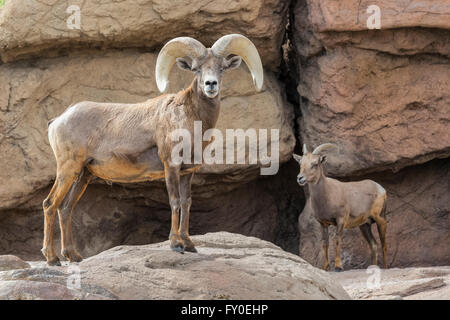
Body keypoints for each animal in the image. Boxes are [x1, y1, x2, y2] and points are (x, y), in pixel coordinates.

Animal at [42, 34, 264, 264]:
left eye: (222, 68)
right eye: (196, 69)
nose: (210, 84)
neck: (190, 119)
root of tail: (58, 120)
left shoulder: (188, 172)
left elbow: (186, 203)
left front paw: (189, 244)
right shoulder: (171, 166)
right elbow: (175, 202)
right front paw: (176, 244)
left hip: (82, 175)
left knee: (65, 208)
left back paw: (73, 256)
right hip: (68, 169)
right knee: (50, 204)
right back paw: (52, 258)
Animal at [296, 144, 386, 272]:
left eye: (315, 163)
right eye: (300, 163)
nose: (300, 178)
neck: (327, 194)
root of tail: (381, 189)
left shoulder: (341, 220)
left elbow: (337, 241)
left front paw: (338, 267)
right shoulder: (323, 223)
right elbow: (325, 243)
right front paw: (325, 267)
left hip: (380, 219)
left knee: (384, 245)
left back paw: (385, 267)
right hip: (364, 225)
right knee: (373, 245)